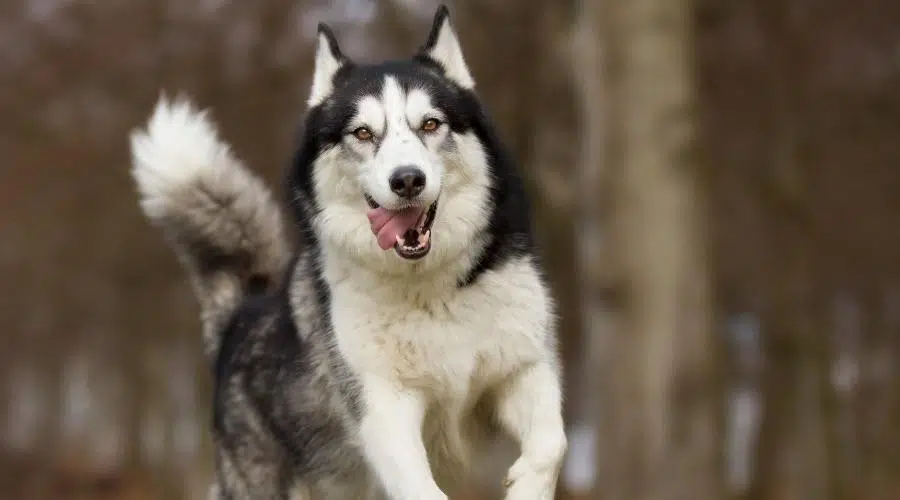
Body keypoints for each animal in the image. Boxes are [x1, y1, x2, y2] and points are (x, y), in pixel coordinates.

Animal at [130, 4, 568, 500]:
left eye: (430, 124)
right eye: (362, 133)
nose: (407, 179)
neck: (428, 289)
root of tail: (242, 314)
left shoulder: (523, 368)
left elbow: (553, 441)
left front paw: (527, 487)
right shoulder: (383, 409)